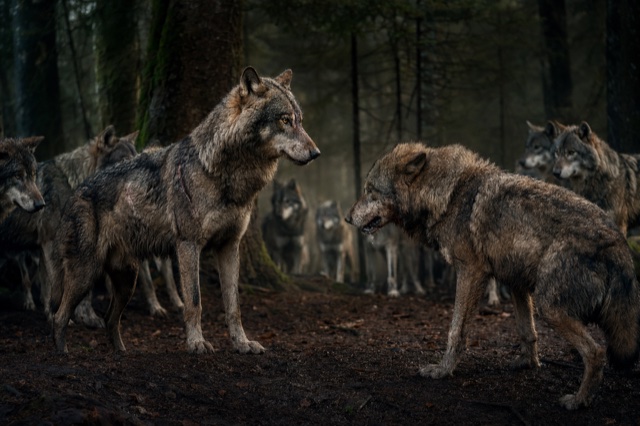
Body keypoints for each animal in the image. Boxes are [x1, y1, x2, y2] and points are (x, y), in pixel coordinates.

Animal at [50, 67, 320, 355]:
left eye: (300, 121)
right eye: (285, 120)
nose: (316, 153)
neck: (226, 177)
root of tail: (76, 191)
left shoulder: (229, 246)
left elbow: (233, 305)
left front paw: (242, 343)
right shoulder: (189, 245)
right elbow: (194, 301)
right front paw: (197, 343)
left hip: (126, 280)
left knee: (111, 318)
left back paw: (121, 352)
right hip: (86, 272)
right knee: (60, 315)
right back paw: (63, 353)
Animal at [346, 142, 640, 410]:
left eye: (370, 191)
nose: (348, 218)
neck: (449, 195)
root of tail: (618, 244)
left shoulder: (470, 271)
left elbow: (456, 330)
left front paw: (442, 370)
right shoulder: (516, 281)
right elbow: (527, 330)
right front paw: (529, 363)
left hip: (550, 307)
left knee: (596, 351)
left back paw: (579, 400)